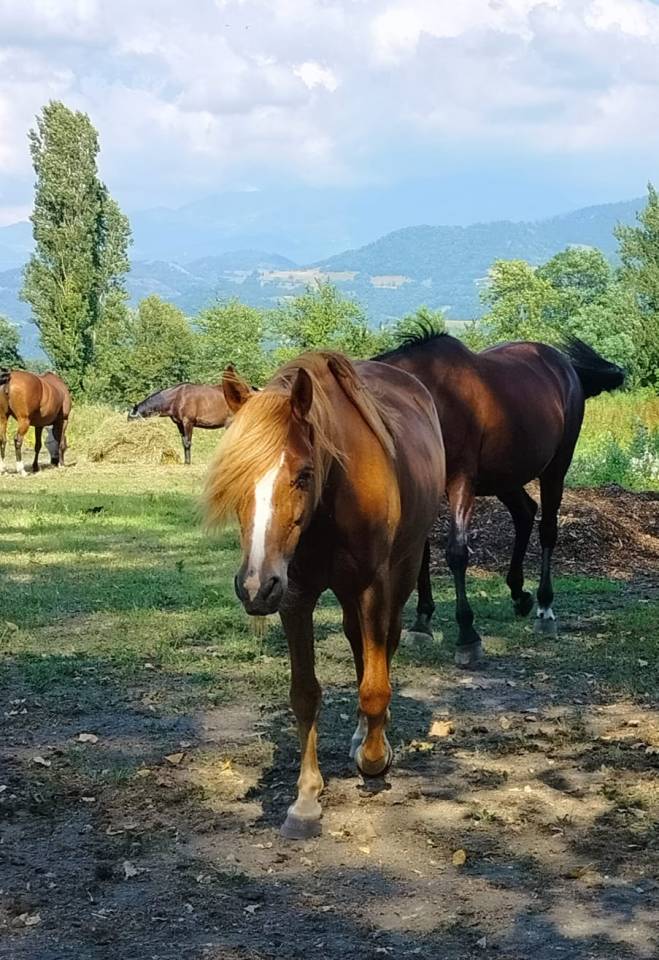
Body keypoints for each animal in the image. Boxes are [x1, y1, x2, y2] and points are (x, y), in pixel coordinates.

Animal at [204, 351, 445, 839]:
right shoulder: (294, 596)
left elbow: (375, 687)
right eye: (235, 476)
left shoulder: (374, 585)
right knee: (357, 643)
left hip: (402, 571)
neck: (334, 499)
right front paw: (306, 799)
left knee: (383, 646)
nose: (255, 585)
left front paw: (375, 758)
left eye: (303, 474)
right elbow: (305, 694)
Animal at [376, 331, 625, 666]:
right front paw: (422, 623)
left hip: (555, 468)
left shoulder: (461, 481)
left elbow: (456, 553)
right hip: (505, 477)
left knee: (547, 529)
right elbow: (422, 554)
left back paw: (544, 608)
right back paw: (519, 594)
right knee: (524, 512)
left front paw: (467, 635)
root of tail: (564, 365)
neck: (436, 400)